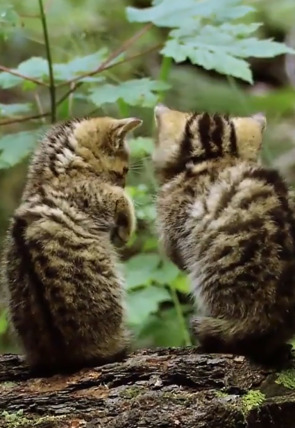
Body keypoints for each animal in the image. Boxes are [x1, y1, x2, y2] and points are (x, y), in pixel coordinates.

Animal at [0, 115, 143, 372]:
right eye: (124, 171)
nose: (125, 182)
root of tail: (64, 354)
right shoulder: (96, 196)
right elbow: (121, 198)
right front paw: (126, 229)